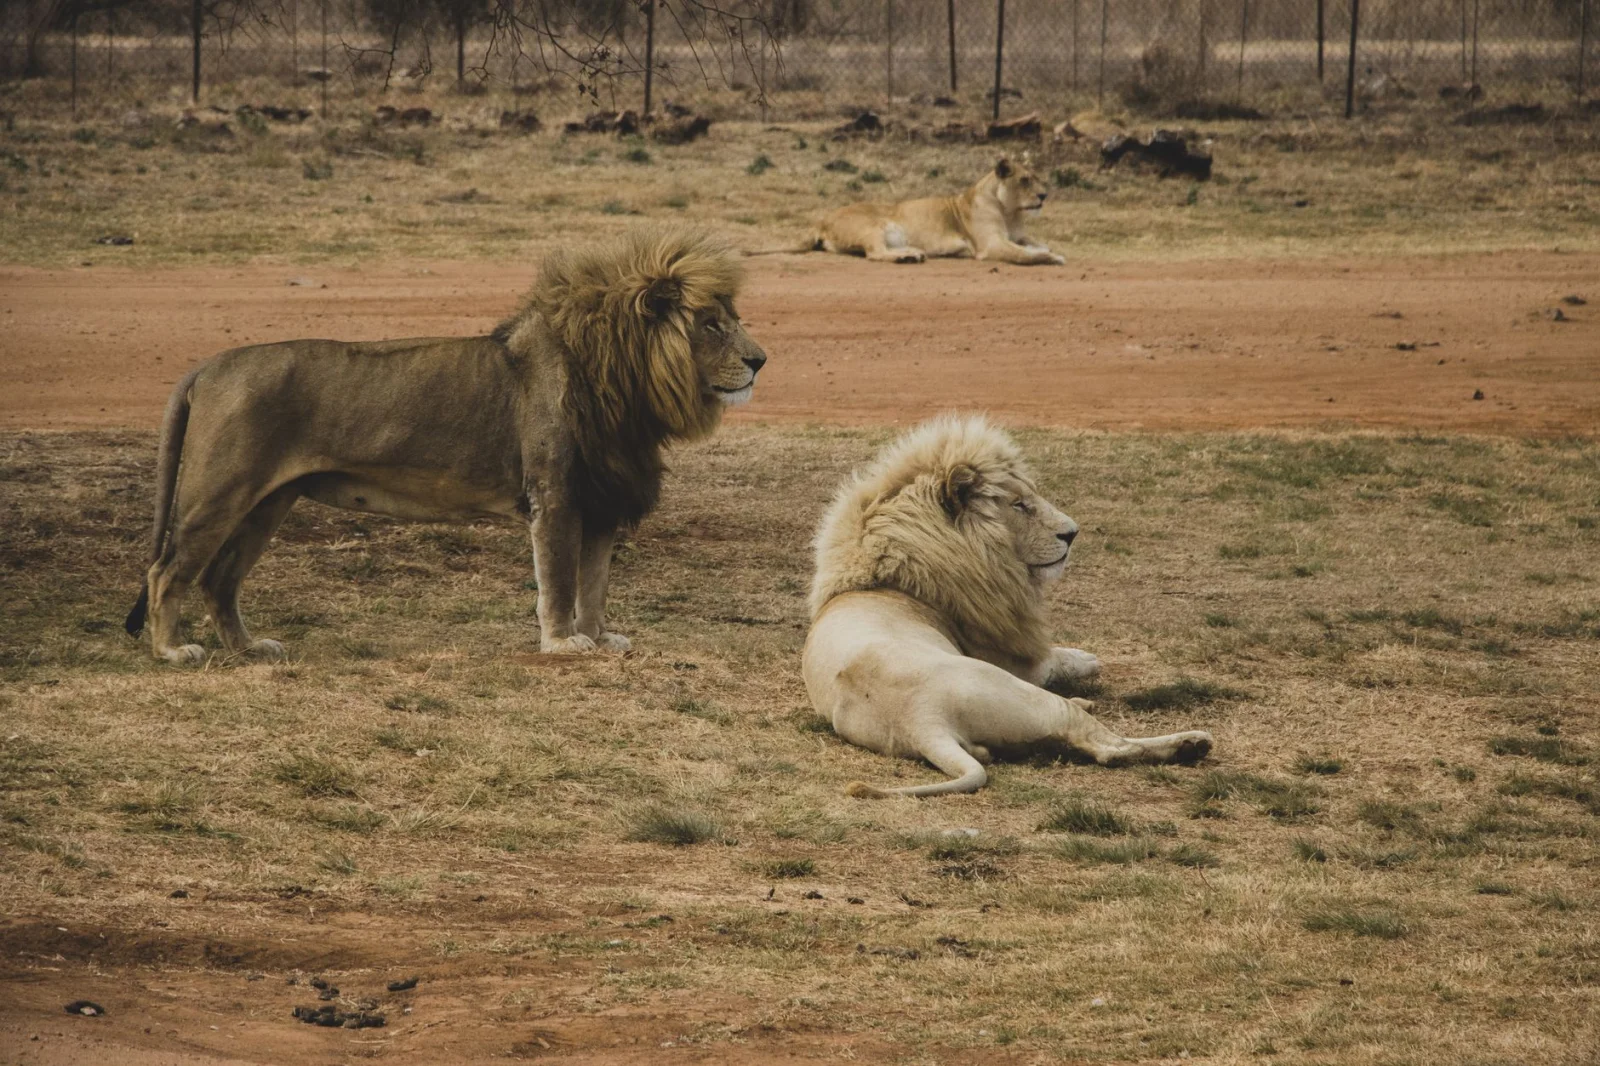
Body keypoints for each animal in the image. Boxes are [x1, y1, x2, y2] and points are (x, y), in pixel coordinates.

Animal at [123, 226, 768, 664]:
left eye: (731, 319)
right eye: (711, 324)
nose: (761, 360)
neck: (626, 386)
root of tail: (207, 365)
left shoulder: (602, 500)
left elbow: (594, 583)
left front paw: (598, 635)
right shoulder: (556, 495)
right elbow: (559, 581)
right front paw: (562, 643)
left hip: (269, 503)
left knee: (220, 579)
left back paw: (249, 647)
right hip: (220, 492)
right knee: (167, 571)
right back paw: (171, 651)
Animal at [802, 415, 1213, 797]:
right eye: (1019, 505)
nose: (1072, 533)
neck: (894, 582)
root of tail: (921, 722)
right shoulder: (1010, 657)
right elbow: (1053, 660)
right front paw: (1086, 658)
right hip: (1022, 693)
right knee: (1110, 748)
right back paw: (1189, 743)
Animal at [810, 156, 1065, 265]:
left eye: (1036, 178)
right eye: (1024, 180)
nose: (1044, 196)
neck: (1010, 212)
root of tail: (821, 222)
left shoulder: (1018, 236)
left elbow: (1036, 244)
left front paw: (1045, 249)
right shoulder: (990, 244)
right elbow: (1023, 254)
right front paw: (1052, 257)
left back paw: (914, 253)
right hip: (872, 226)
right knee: (875, 253)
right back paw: (906, 257)